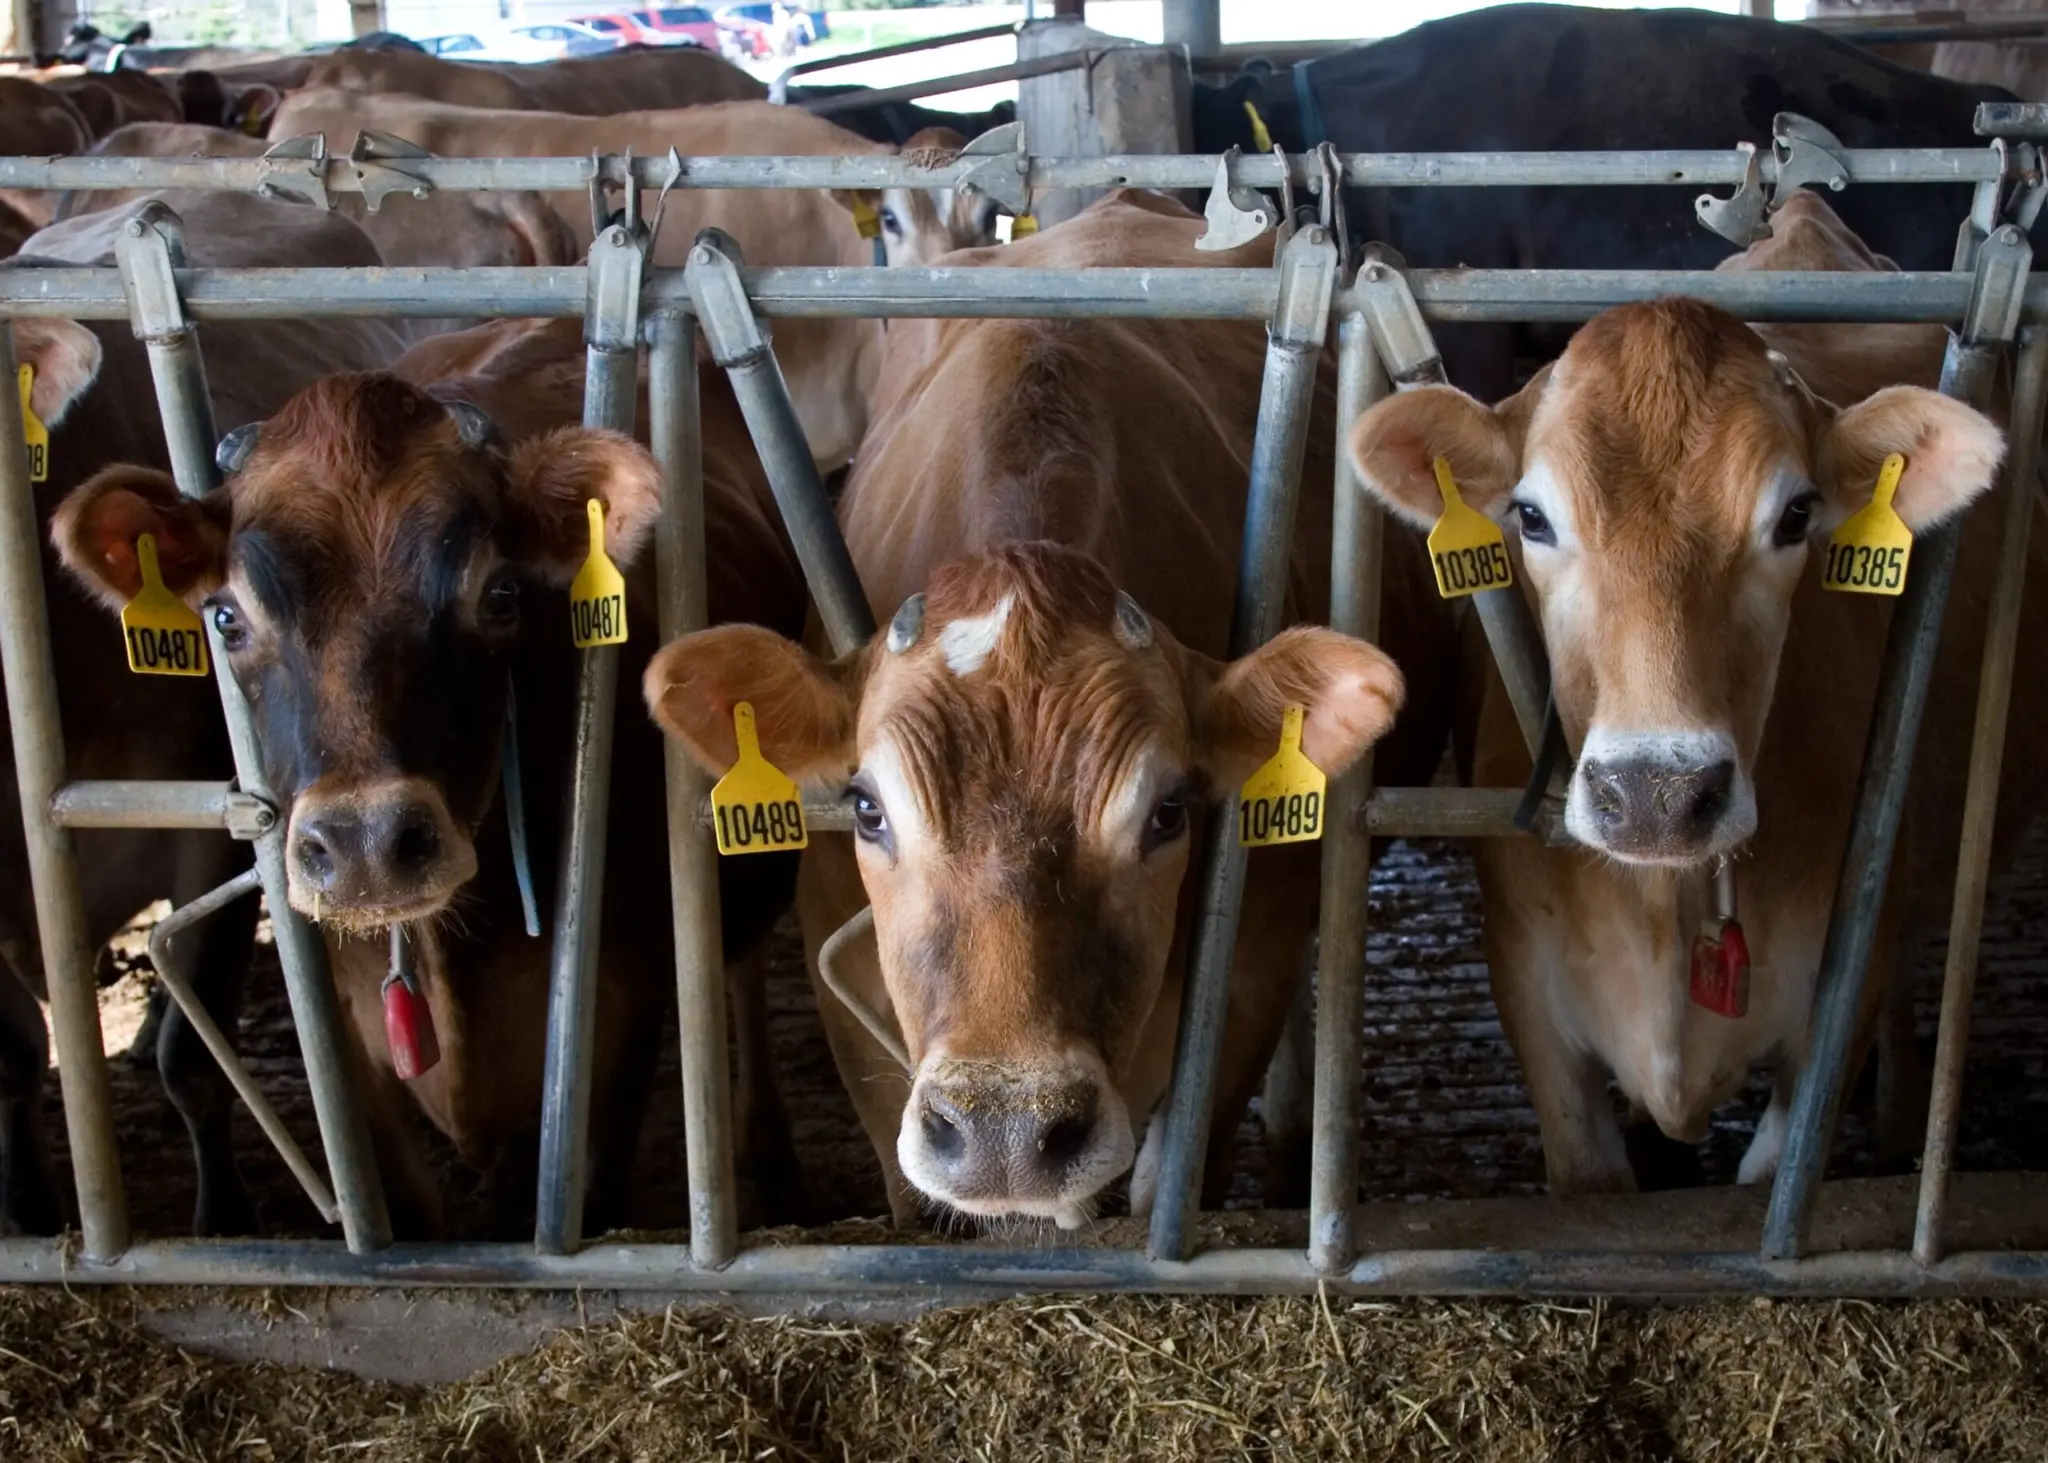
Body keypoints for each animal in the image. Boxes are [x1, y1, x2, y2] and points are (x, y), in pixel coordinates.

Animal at [49, 333, 806, 1229]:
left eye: (501, 593)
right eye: (227, 617)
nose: (365, 845)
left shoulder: (614, 1021)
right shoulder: (346, 1048)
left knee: (742, 964)